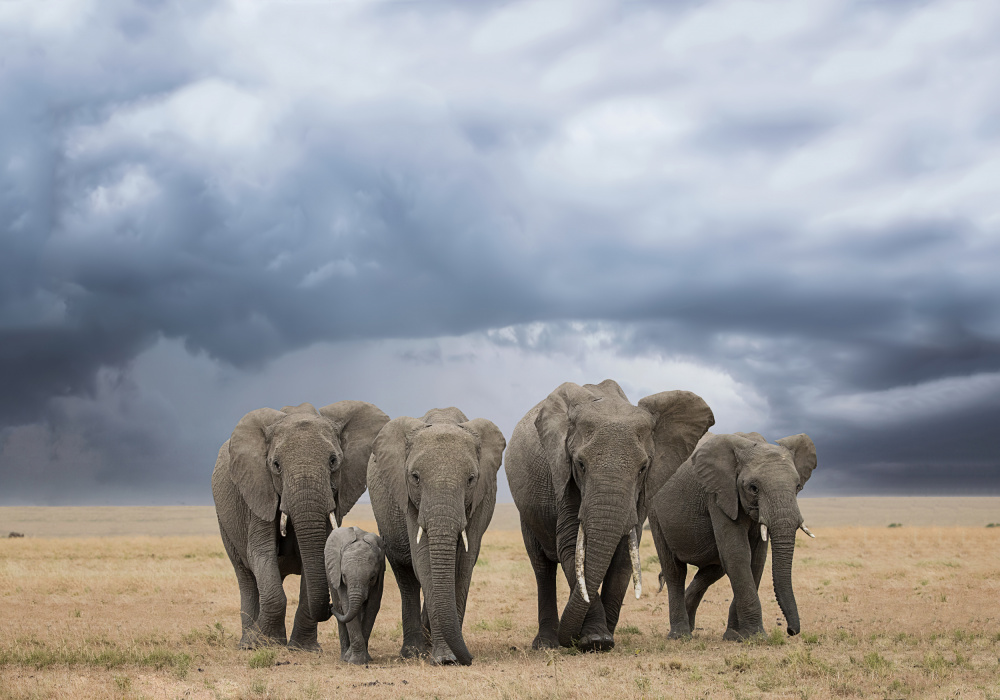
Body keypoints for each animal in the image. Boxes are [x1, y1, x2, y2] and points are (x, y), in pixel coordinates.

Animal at [212, 401, 389, 651]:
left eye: (333, 461)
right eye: (276, 465)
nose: (331, 608)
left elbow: (319, 556)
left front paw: (303, 648)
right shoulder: (259, 490)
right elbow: (261, 552)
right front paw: (263, 644)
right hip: (225, 521)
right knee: (246, 576)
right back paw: (249, 643)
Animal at [325, 526, 385, 665]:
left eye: (372, 578)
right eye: (344, 576)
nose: (329, 607)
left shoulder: (380, 575)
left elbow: (373, 607)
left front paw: (362, 659)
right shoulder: (338, 575)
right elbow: (347, 606)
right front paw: (353, 660)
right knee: (341, 609)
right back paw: (343, 657)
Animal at [368, 407, 506, 665]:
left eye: (471, 479)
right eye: (415, 477)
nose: (469, 658)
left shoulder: (481, 498)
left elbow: (463, 564)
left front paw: (449, 657)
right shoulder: (409, 499)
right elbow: (424, 562)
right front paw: (445, 658)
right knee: (405, 575)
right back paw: (412, 652)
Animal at [506, 380, 715, 652]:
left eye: (643, 468)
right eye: (580, 464)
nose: (569, 640)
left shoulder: (642, 493)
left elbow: (625, 552)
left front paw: (604, 637)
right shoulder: (563, 477)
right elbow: (572, 546)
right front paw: (596, 639)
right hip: (527, 510)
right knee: (542, 567)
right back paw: (545, 644)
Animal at [647, 431, 817, 640]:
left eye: (798, 486)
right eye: (753, 488)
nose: (791, 631)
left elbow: (756, 560)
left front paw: (735, 636)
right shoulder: (719, 494)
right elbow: (738, 554)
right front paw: (757, 637)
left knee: (713, 569)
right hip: (655, 512)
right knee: (675, 571)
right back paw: (680, 635)